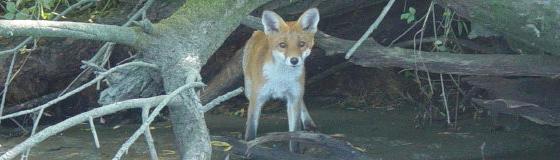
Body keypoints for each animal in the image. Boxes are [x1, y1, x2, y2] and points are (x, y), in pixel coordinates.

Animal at [241, 8, 320, 151]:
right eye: (282, 45)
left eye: (301, 44)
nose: (294, 60)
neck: (281, 79)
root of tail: (259, 31)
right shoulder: (257, 97)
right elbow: (251, 129)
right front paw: (248, 145)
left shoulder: (294, 97)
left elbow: (295, 134)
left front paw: (294, 152)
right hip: (248, 91)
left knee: (302, 102)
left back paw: (308, 122)